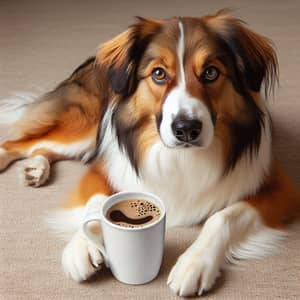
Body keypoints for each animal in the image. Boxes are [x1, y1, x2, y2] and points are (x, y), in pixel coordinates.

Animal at [0, 11, 300, 298]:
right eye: (158, 73)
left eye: (211, 73)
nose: (186, 129)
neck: (181, 157)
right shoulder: (103, 167)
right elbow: (98, 201)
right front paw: (82, 246)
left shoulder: (279, 188)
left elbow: (223, 216)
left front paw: (193, 263)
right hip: (85, 128)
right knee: (22, 142)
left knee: (40, 146)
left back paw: (36, 168)